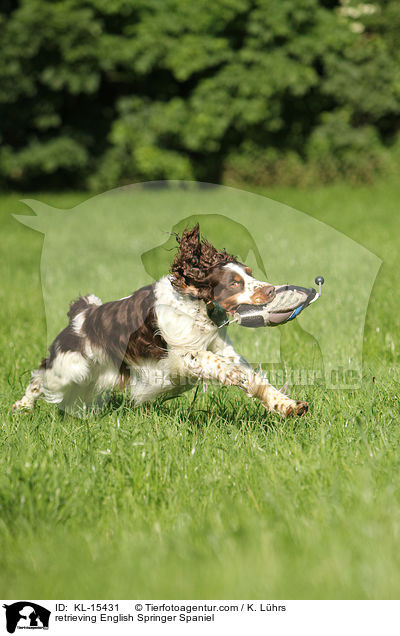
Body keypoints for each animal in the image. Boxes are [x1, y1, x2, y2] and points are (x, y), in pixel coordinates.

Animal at [11, 224, 306, 418]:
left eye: (249, 273)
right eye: (234, 283)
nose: (270, 290)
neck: (196, 307)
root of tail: (81, 314)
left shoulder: (223, 348)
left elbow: (255, 380)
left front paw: (289, 406)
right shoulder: (181, 354)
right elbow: (209, 360)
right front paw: (232, 374)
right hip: (71, 368)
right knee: (39, 376)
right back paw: (21, 406)